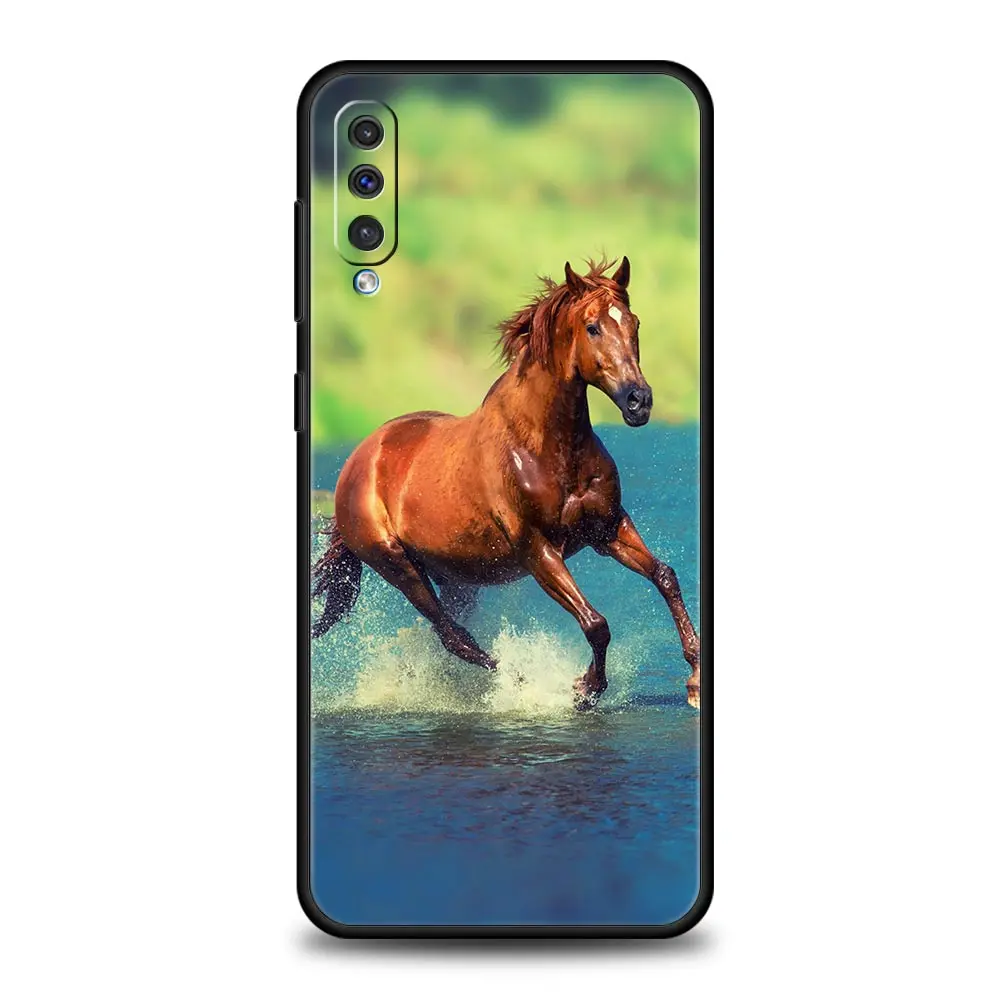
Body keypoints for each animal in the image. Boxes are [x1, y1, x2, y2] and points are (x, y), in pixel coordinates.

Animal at [311, 256, 701, 710]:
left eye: (634, 323)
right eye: (592, 327)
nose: (639, 401)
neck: (545, 447)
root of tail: (358, 461)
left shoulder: (607, 528)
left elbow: (665, 577)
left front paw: (695, 680)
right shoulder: (537, 549)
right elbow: (595, 623)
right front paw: (584, 688)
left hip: (456, 576)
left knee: (450, 633)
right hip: (396, 564)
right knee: (452, 635)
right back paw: (517, 682)